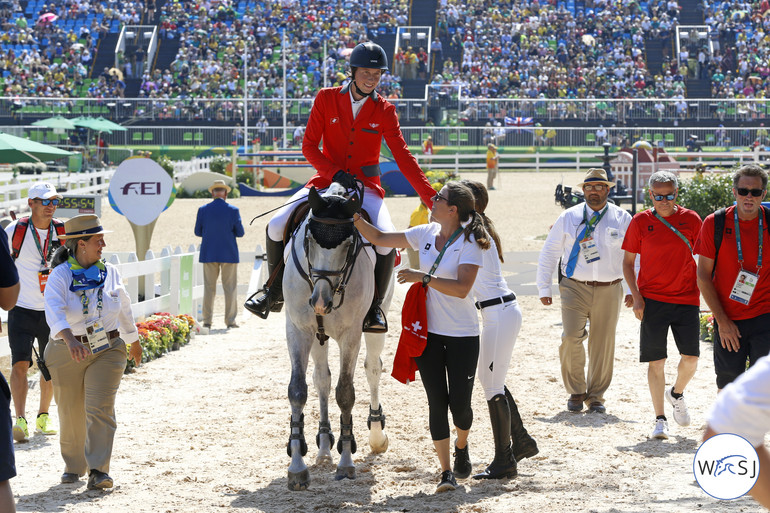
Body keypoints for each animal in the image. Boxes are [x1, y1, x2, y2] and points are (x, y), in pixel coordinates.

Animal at [282, 183, 390, 488]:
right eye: (308, 239)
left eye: (349, 244)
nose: (320, 302)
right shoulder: (298, 330)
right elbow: (298, 390)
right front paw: (297, 466)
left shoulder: (350, 334)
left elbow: (345, 394)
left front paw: (346, 461)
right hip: (319, 335)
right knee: (321, 379)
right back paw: (323, 447)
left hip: (372, 327)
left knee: (372, 369)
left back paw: (375, 435)